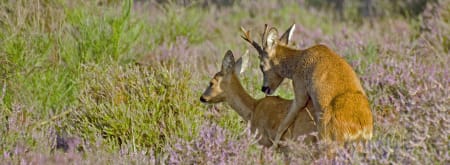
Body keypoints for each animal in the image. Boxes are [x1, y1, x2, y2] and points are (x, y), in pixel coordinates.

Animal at [241, 24, 374, 150]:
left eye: (261, 65)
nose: (264, 88)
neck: (299, 60)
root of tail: (361, 127)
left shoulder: (300, 92)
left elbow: (283, 124)